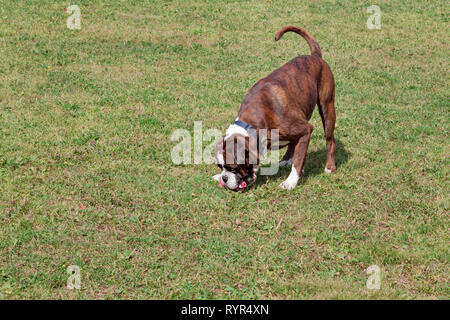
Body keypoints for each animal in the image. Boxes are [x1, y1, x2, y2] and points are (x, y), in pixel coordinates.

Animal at [215, 26, 338, 190]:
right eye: (220, 167)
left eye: (233, 168)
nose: (224, 178)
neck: (254, 124)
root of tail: (315, 56)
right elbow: (299, 155)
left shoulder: (306, 129)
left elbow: (298, 161)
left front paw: (291, 181)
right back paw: (286, 159)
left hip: (327, 108)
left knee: (330, 140)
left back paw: (329, 166)